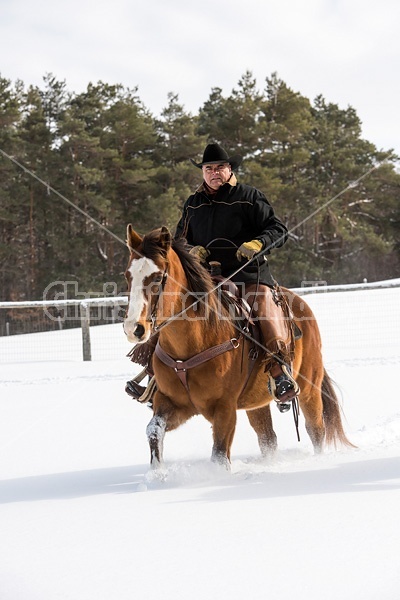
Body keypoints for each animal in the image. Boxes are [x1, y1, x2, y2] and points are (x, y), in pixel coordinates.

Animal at [122, 225, 354, 468]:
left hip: (309, 388)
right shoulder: (172, 403)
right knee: (267, 438)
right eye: (127, 275)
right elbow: (154, 431)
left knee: (315, 430)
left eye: (158, 277)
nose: (134, 328)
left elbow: (219, 455)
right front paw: (158, 474)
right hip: (257, 402)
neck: (193, 343)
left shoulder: (224, 408)